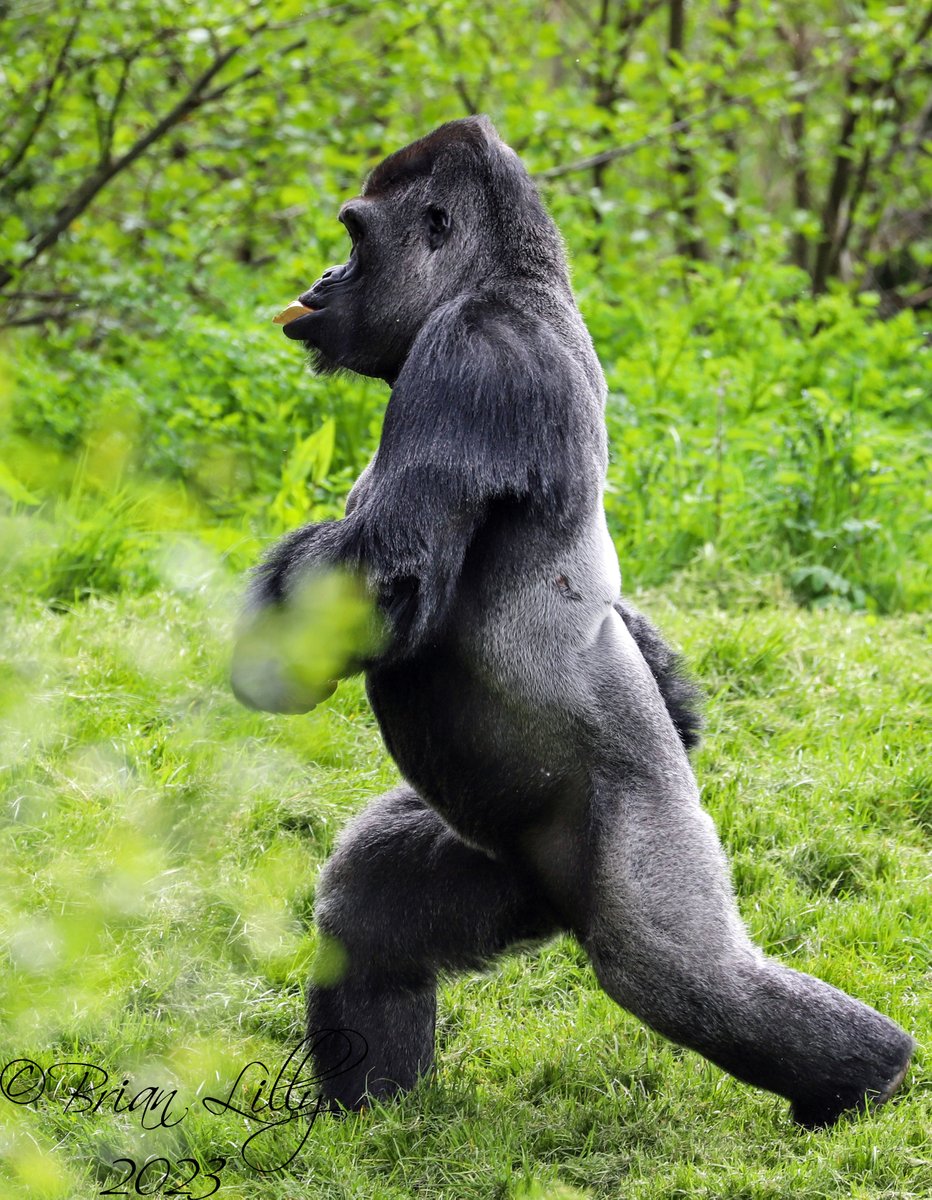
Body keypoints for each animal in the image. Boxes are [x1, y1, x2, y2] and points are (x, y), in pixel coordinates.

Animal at [232, 116, 913, 1127]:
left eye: (353, 238)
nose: (318, 281)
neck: (511, 280)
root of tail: (554, 897)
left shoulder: (472, 354)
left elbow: (387, 582)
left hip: (646, 832)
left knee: (678, 974)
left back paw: (873, 1075)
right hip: (503, 868)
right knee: (365, 912)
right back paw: (379, 1108)